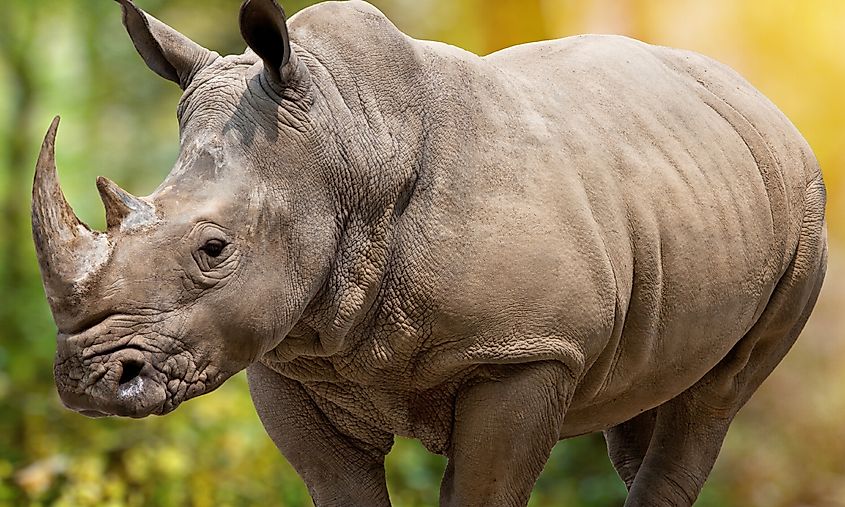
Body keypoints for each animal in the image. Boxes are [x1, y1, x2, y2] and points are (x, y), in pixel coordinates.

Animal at [32, 0, 828, 505]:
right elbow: (339, 486)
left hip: (805, 206)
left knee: (713, 398)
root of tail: (760, 102)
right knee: (647, 395)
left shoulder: (526, 349)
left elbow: (484, 489)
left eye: (213, 248)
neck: (347, 145)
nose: (90, 381)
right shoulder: (283, 357)